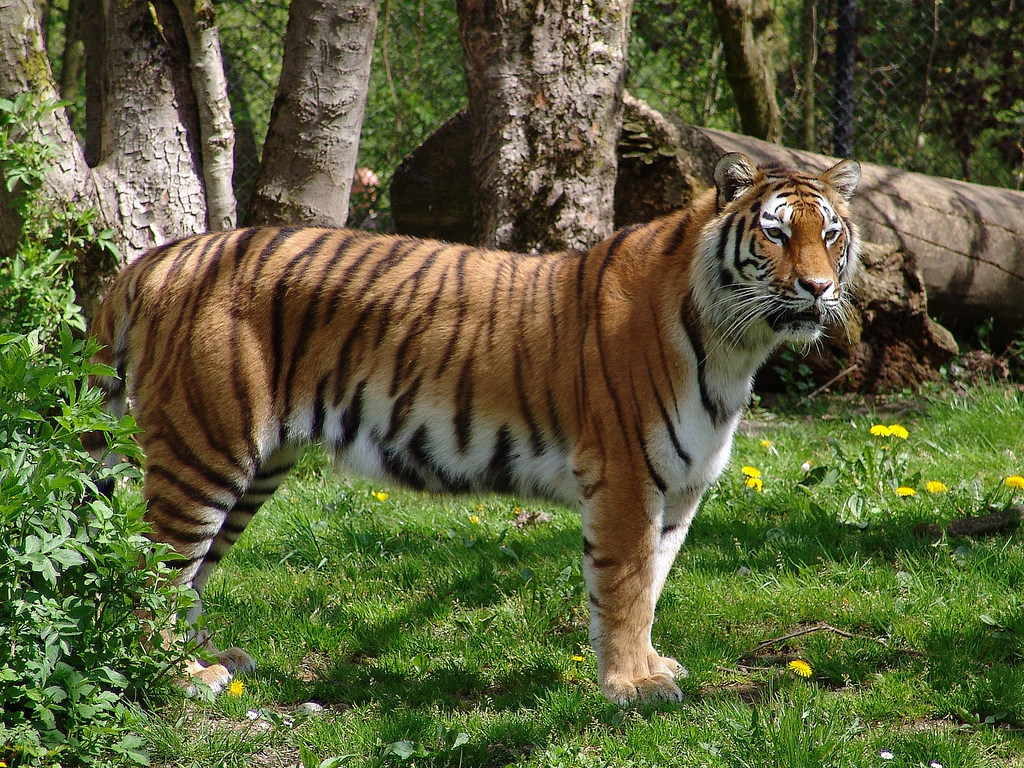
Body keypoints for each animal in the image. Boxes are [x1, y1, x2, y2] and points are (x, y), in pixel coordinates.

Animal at [86, 153, 856, 708]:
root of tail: (163, 255)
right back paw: (179, 676)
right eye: (776, 233)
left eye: (832, 235)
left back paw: (212, 660)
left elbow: (652, 583)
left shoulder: (680, 485)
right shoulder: (627, 476)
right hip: (204, 449)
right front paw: (632, 686)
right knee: (152, 566)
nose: (819, 288)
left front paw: (646, 666)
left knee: (189, 573)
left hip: (254, 463)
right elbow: (627, 585)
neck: (737, 346)